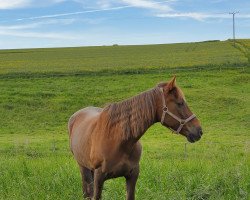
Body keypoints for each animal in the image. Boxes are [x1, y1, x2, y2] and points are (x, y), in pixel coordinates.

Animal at [67, 76, 202, 199]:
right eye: (180, 103)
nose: (199, 131)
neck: (118, 140)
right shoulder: (99, 177)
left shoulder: (132, 175)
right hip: (83, 168)